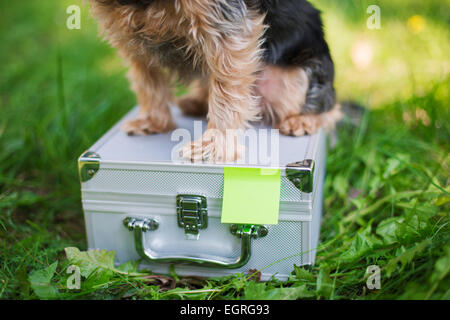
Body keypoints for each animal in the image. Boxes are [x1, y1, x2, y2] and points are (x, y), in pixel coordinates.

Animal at [89, 0, 342, 160]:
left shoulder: (226, 26)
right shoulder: (130, 34)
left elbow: (226, 91)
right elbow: (147, 81)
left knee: (331, 109)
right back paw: (195, 102)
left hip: (289, 79)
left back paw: (303, 120)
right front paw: (152, 121)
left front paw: (213, 146)